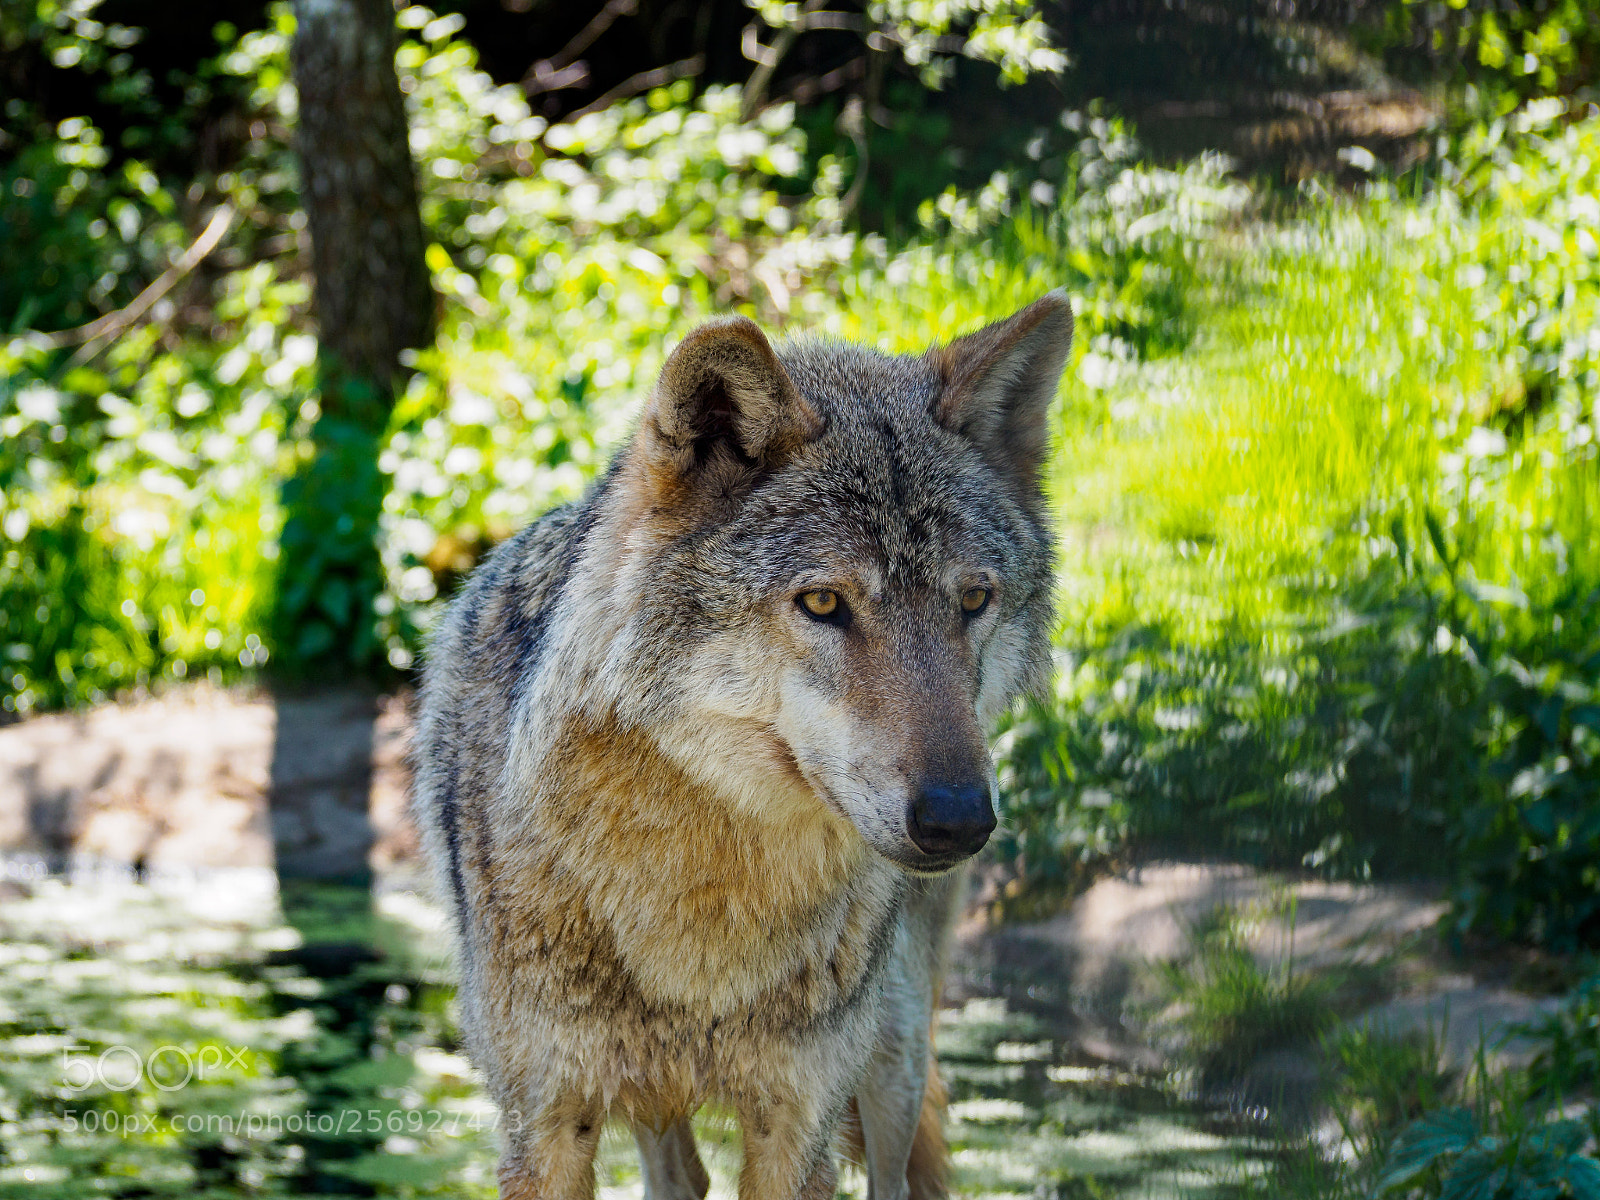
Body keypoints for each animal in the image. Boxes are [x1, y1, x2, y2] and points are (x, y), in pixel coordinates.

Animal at [410, 291, 1071, 1200]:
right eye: (823, 603)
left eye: (973, 600)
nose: (959, 819)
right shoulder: (543, 1121)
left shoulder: (796, 1122)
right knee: (680, 1176)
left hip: (892, 1055)